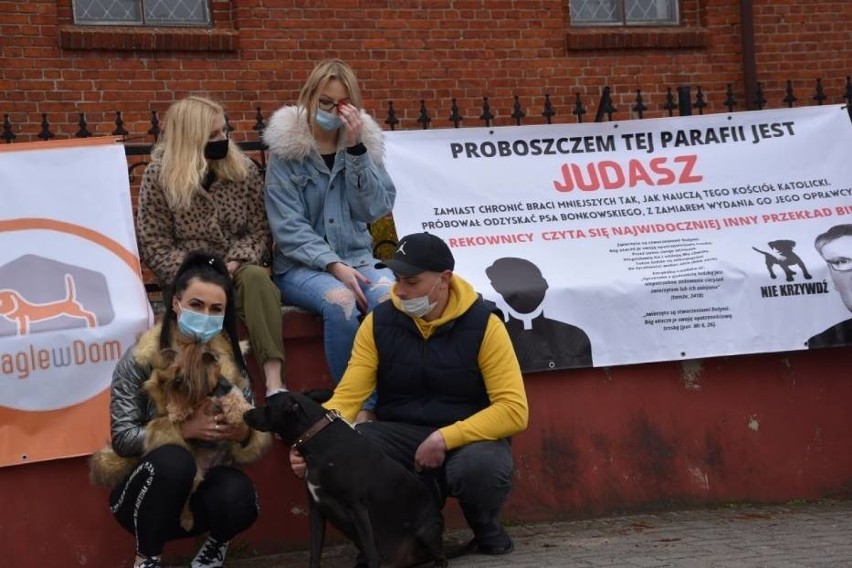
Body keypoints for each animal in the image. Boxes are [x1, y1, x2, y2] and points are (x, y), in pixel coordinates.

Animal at [243, 390, 450, 568]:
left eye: (267, 405)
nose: (245, 413)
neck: (318, 440)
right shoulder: (316, 509)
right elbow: (315, 552)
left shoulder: (357, 507)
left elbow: (372, 552)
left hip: (427, 531)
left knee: (441, 555)